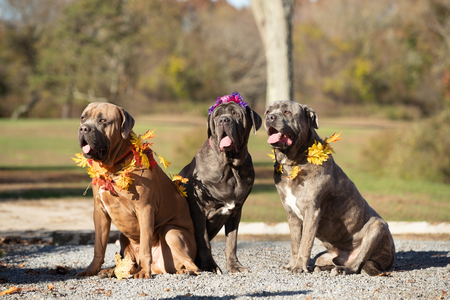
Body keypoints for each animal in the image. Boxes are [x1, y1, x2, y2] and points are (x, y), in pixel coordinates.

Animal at [75, 103, 199, 278]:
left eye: (103, 120)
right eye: (83, 118)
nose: (84, 128)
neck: (113, 167)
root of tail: (160, 268)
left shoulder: (145, 209)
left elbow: (146, 244)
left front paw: (144, 272)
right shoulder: (100, 211)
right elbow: (99, 246)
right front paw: (90, 270)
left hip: (172, 232)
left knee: (192, 264)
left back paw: (185, 271)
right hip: (123, 237)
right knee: (130, 263)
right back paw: (112, 271)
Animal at [179, 92, 262, 274]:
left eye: (236, 114)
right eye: (217, 115)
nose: (224, 120)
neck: (230, 167)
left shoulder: (236, 211)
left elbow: (231, 242)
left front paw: (235, 266)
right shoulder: (199, 211)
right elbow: (204, 241)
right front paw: (210, 266)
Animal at [264, 101, 394, 276]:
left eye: (287, 112)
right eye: (268, 111)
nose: (270, 117)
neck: (294, 162)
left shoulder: (312, 211)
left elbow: (305, 243)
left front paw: (298, 267)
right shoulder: (291, 214)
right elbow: (295, 243)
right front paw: (292, 265)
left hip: (377, 227)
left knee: (356, 264)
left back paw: (341, 270)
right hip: (325, 255)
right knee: (329, 261)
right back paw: (319, 267)